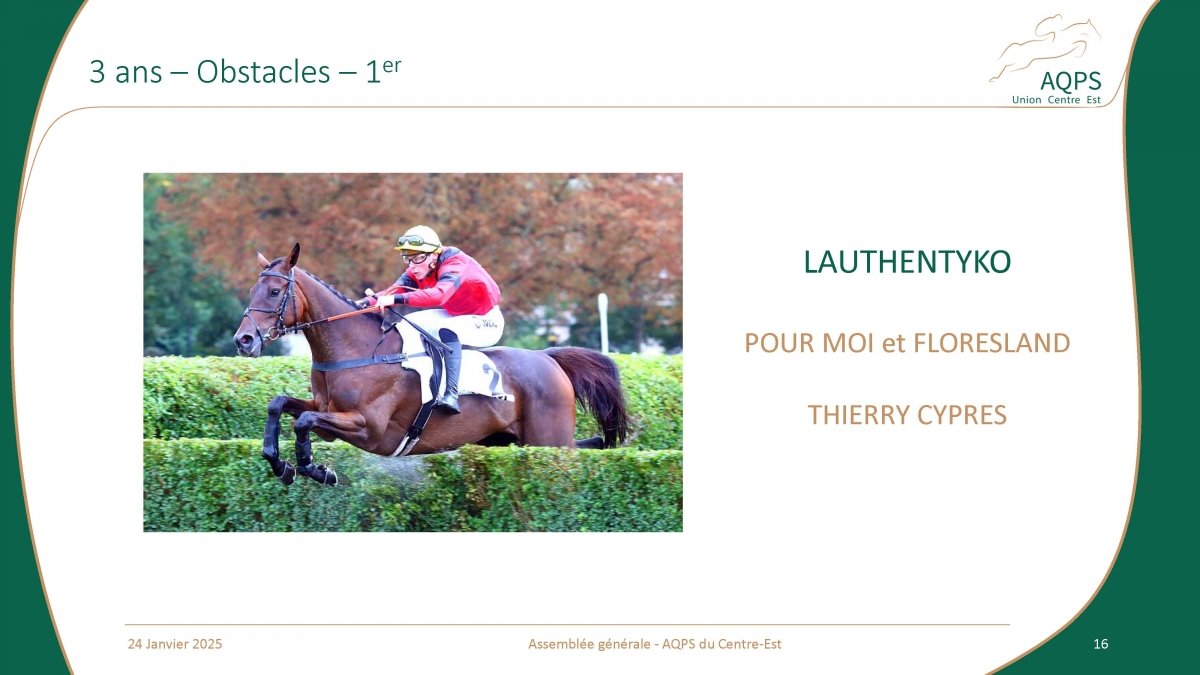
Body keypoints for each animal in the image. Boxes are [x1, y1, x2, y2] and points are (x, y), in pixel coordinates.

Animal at [232, 244, 629, 486]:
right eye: (252, 290)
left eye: (274, 292)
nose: (244, 340)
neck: (358, 348)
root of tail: (549, 359)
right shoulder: (326, 409)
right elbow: (281, 405)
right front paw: (282, 464)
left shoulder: (369, 427)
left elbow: (303, 421)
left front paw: (313, 467)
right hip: (505, 441)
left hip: (548, 441)